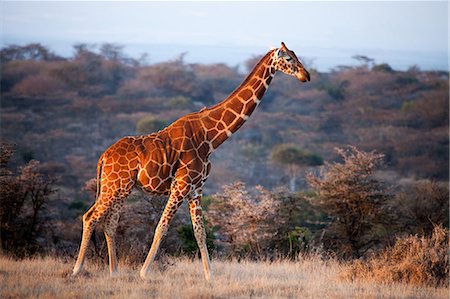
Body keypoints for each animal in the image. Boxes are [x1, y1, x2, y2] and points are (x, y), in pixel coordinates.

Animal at [73, 41, 310, 284]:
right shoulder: (181, 184)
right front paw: (144, 272)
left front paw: (209, 277)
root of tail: (103, 156)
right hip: (114, 185)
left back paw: (114, 272)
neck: (210, 137)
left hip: (122, 188)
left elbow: (200, 232)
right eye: (289, 59)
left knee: (110, 222)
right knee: (90, 216)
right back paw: (77, 269)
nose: (306, 75)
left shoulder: (197, 188)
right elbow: (162, 226)